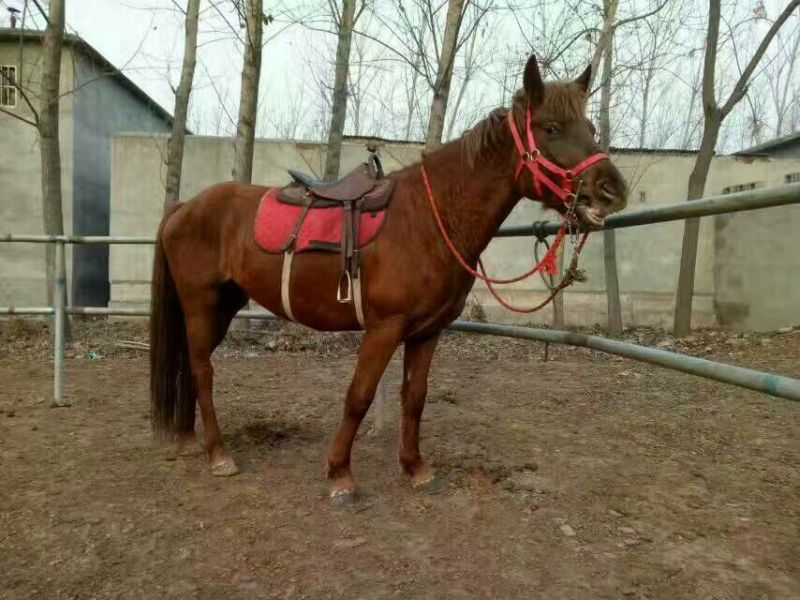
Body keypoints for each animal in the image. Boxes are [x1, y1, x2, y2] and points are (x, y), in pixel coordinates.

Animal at [149, 54, 629, 505]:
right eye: (551, 128)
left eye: (590, 126)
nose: (613, 189)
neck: (429, 219)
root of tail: (185, 207)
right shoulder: (384, 328)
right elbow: (359, 396)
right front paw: (340, 475)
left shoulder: (427, 332)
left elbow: (414, 397)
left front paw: (415, 467)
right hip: (201, 303)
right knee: (203, 369)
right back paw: (219, 454)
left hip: (223, 305)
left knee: (192, 366)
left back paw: (191, 440)